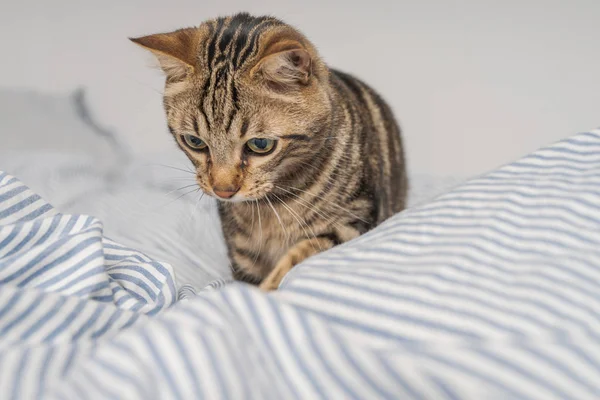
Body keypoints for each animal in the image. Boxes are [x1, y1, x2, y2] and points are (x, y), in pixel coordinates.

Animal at [129, 12, 406, 290]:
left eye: (260, 145)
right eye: (194, 141)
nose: (223, 191)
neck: (271, 206)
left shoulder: (354, 221)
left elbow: (300, 256)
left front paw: (272, 285)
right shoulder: (241, 250)